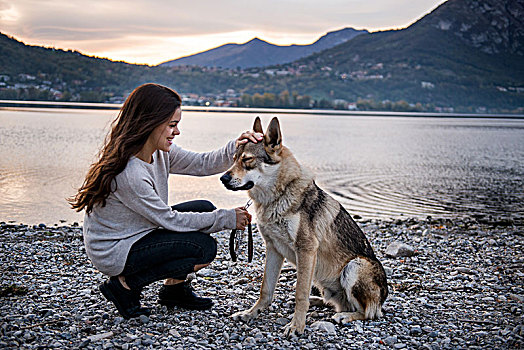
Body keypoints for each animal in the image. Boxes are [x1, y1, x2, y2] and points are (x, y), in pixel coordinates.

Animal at [219, 117, 386, 336]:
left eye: (247, 160)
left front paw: (296, 326)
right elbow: (266, 289)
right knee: (336, 302)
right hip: (324, 282)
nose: (223, 178)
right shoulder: (273, 248)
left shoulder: (306, 249)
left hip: (354, 266)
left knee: (368, 313)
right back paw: (317, 301)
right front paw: (251, 313)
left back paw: (344, 316)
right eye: (234, 158)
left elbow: (300, 293)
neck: (276, 197)